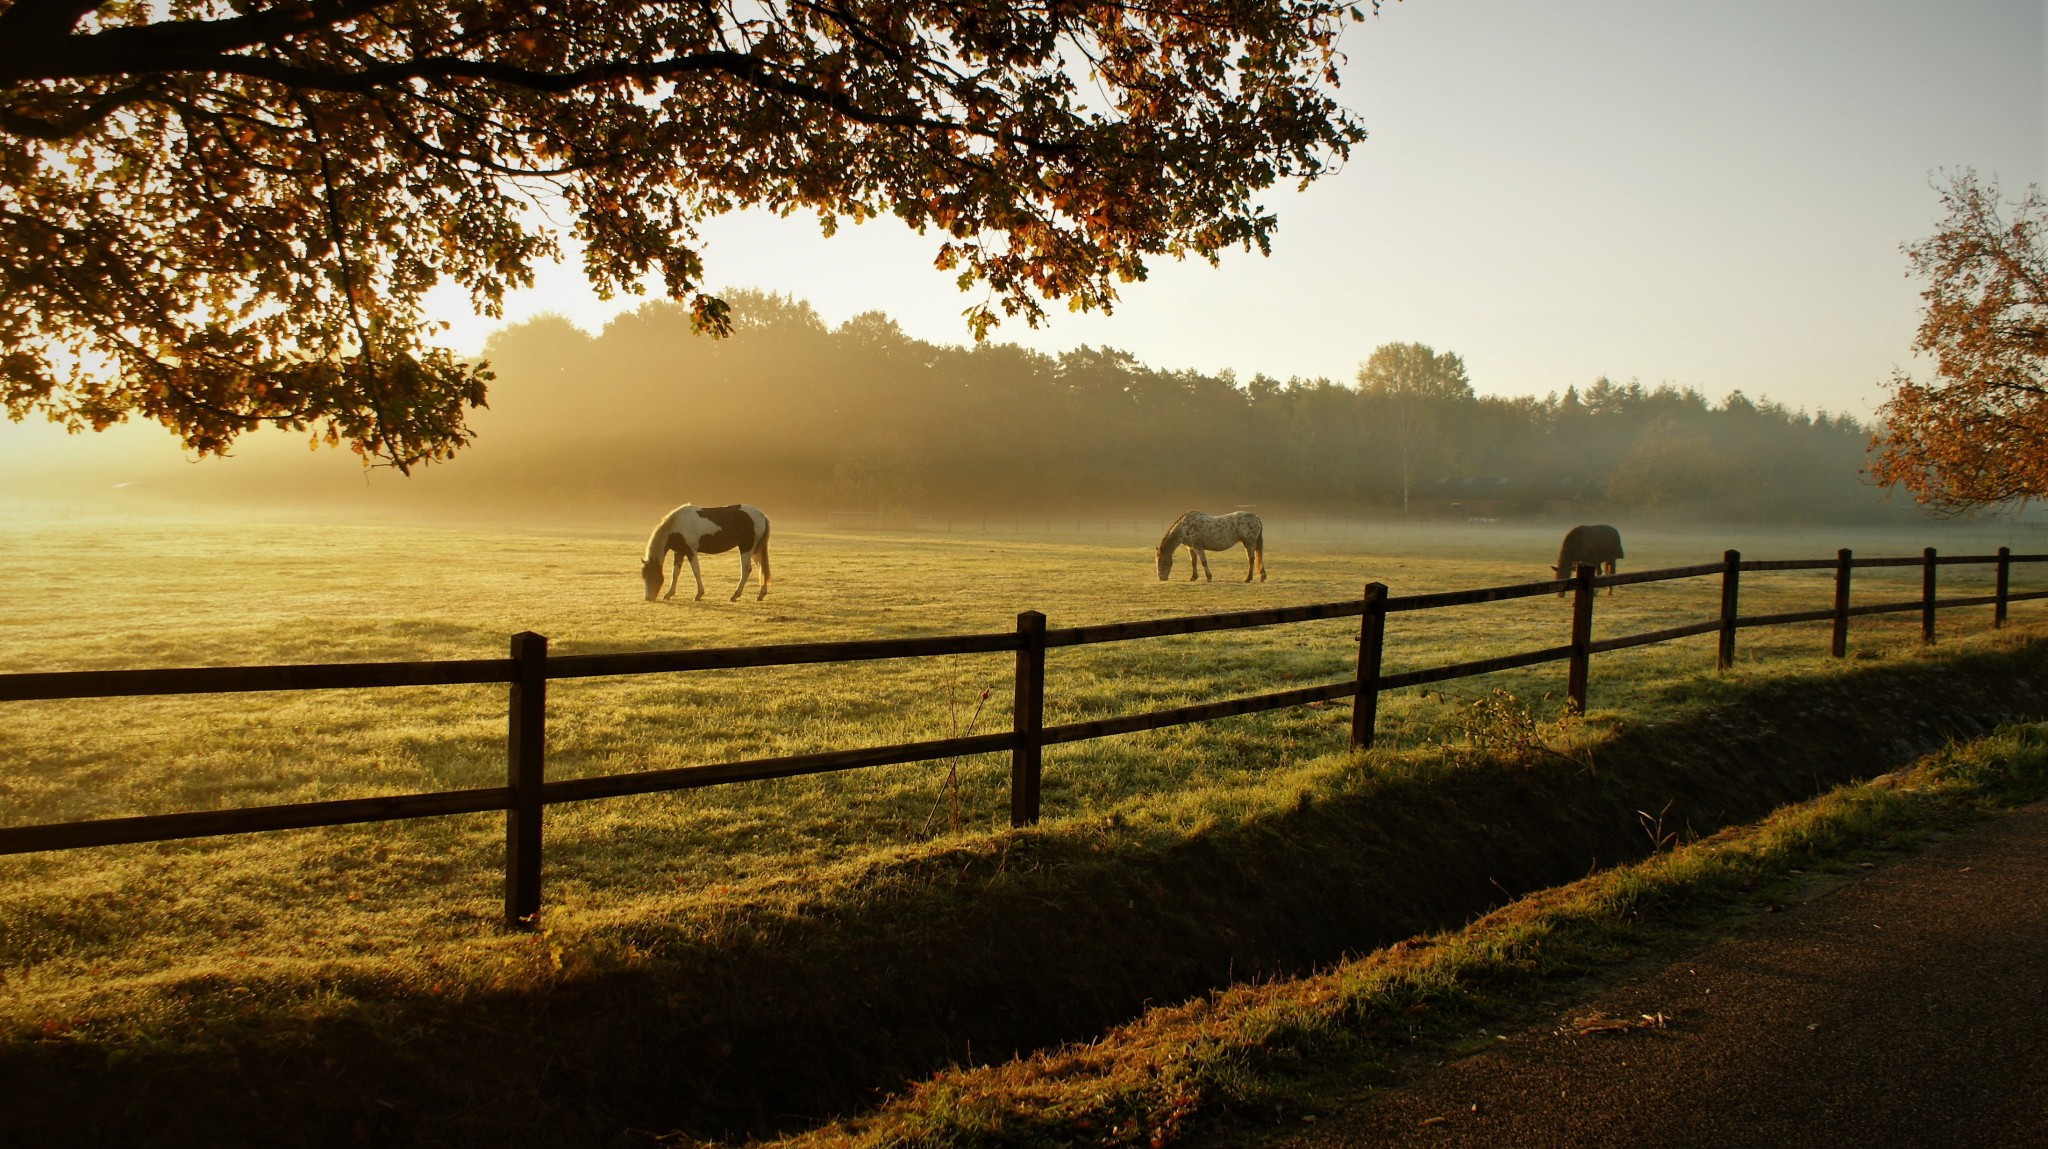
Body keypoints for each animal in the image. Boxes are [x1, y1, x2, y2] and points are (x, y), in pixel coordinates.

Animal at [634, 505, 770, 606]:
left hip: (746, 548)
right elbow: (675, 573)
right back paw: (760, 595)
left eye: (652, 575)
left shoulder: (691, 551)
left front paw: (698, 595)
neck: (677, 525)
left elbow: (696, 571)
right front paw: (669, 594)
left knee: (746, 570)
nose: (648, 598)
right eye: (644, 576)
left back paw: (734, 596)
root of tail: (762, 516)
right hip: (755, 550)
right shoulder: (679, 552)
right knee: (762, 569)